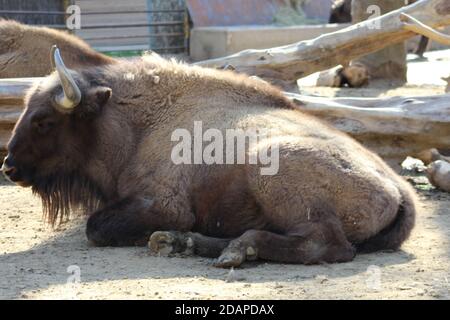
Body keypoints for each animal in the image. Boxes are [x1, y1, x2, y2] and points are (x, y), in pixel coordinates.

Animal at [0, 47, 414, 268]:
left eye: (44, 120)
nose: (9, 167)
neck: (139, 122)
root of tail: (398, 187)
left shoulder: (164, 205)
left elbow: (95, 227)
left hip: (272, 167)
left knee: (325, 243)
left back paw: (234, 250)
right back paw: (178, 244)